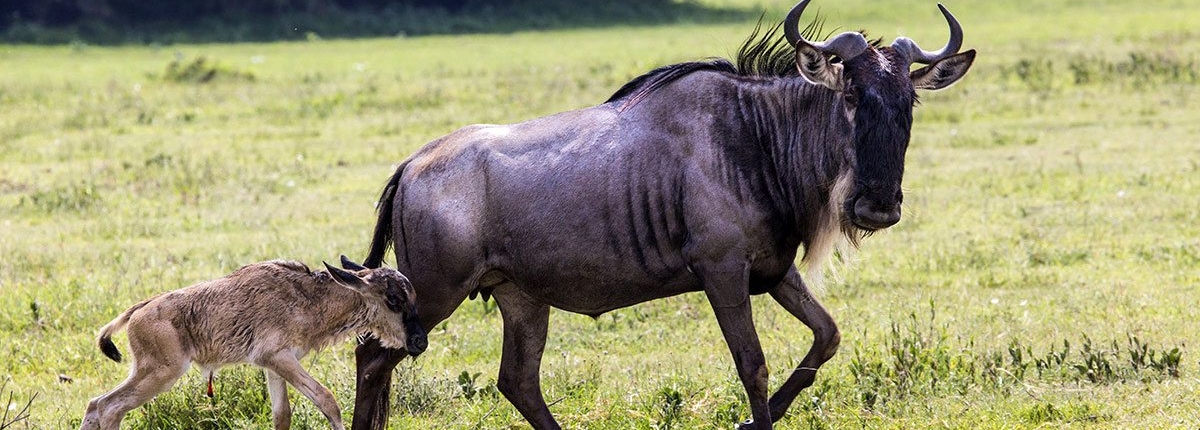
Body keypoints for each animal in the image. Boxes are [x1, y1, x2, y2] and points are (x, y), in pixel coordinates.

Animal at [351, 0, 975, 428]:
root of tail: (411, 166)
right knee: (372, 357)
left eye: (908, 102)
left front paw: (749, 419)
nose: (878, 206)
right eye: (848, 96)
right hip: (435, 292)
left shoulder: (773, 270)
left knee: (518, 380)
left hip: (519, 296)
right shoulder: (722, 271)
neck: (756, 139)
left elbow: (827, 336)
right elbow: (752, 363)